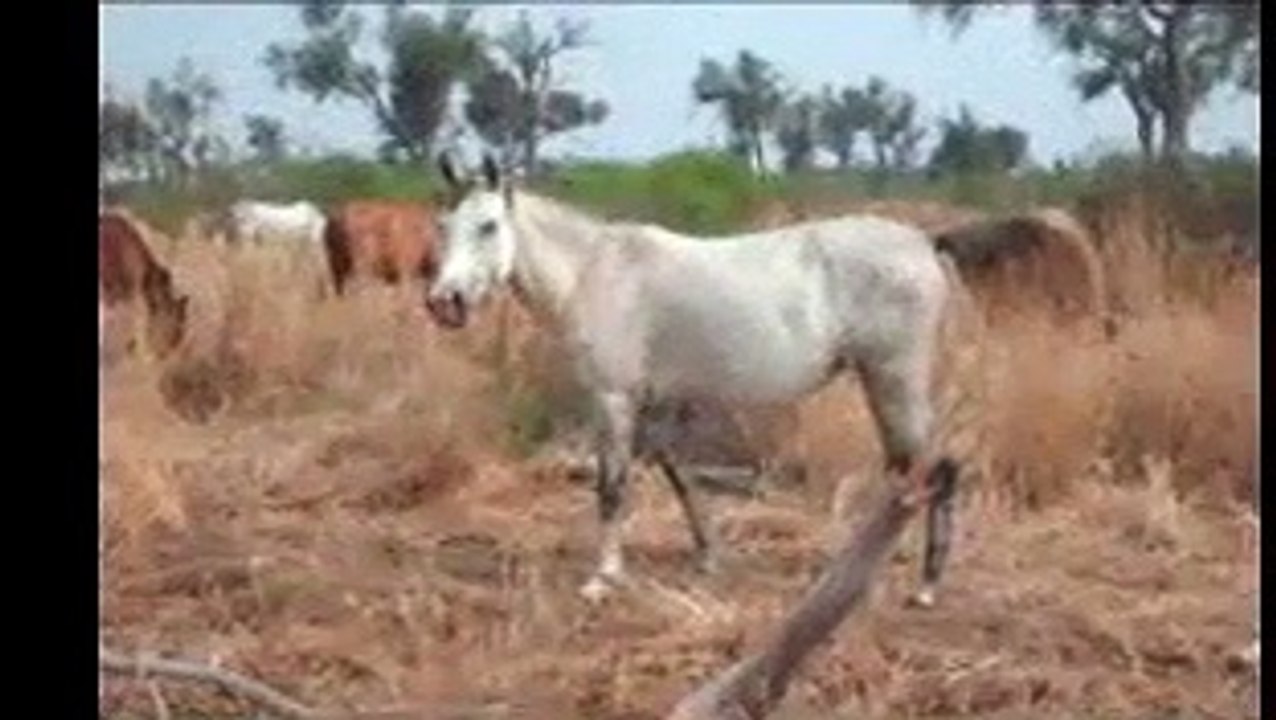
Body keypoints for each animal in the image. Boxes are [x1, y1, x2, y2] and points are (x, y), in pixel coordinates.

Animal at [425, 154, 961, 611]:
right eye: (443, 226)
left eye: (488, 226)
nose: (444, 302)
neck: (593, 272)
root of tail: (924, 244)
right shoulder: (658, 404)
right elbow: (679, 475)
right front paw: (708, 555)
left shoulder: (613, 399)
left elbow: (612, 487)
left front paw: (604, 577)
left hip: (895, 379)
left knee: (934, 469)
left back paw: (926, 588)